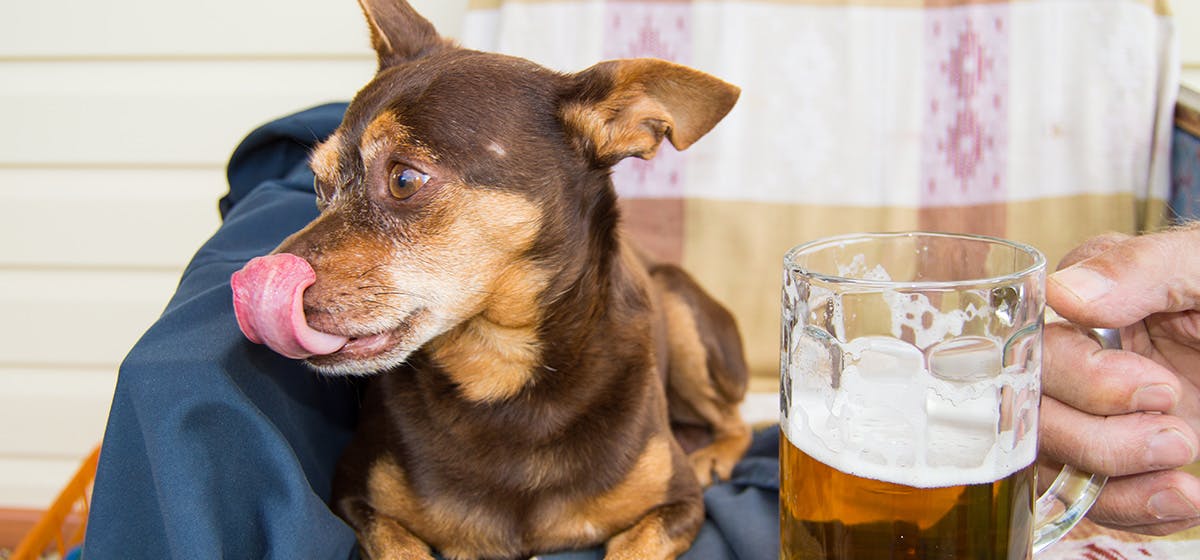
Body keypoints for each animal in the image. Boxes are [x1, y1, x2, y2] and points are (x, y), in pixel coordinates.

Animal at [228, 2, 744, 558]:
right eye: (320, 186)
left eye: (403, 179)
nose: (248, 284)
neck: (500, 371)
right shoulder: (354, 500)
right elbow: (403, 546)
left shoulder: (681, 506)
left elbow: (632, 546)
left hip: (683, 316)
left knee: (736, 419)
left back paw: (712, 455)